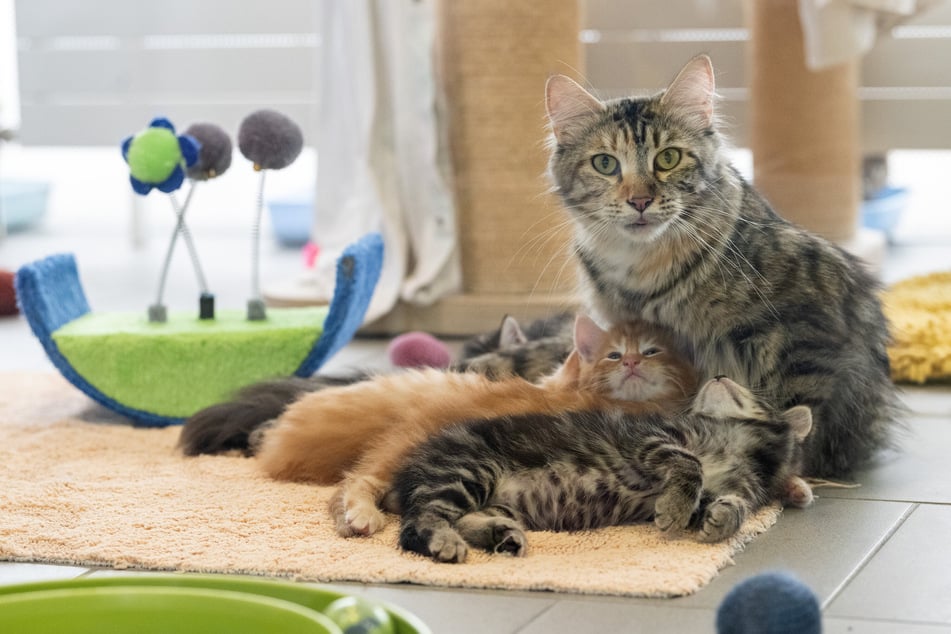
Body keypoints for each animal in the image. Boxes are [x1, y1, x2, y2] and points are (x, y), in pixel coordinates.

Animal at [184, 314, 700, 536]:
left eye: (651, 351)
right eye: (615, 355)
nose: (632, 361)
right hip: (397, 450)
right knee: (350, 486)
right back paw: (360, 516)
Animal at [394, 372, 812, 560]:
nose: (718, 374)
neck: (731, 439)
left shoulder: (738, 485)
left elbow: (737, 503)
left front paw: (724, 520)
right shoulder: (650, 438)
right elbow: (687, 461)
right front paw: (675, 508)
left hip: (504, 500)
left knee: (465, 517)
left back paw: (501, 534)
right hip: (469, 469)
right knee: (418, 522)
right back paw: (444, 541)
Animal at [544, 56, 900, 476]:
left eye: (668, 158)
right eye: (605, 164)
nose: (640, 201)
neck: (640, 266)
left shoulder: (803, 335)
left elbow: (798, 423)